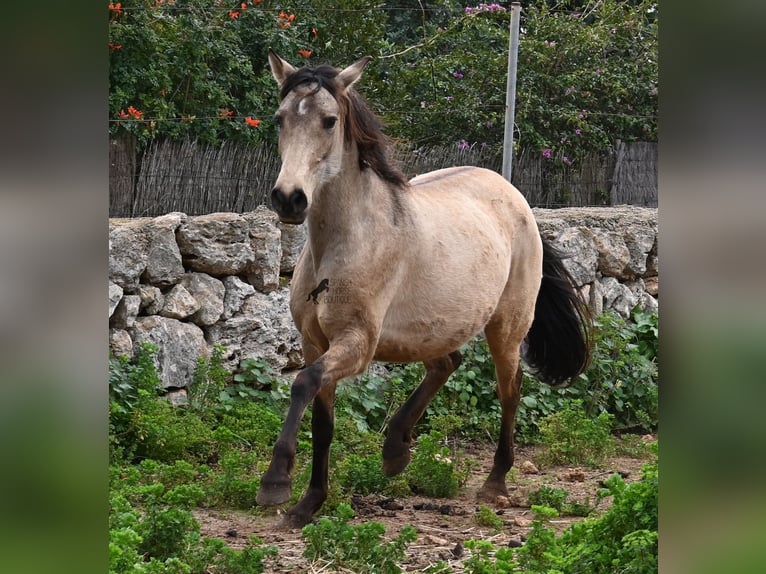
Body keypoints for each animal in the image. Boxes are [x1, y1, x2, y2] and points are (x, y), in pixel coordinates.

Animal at [255, 51, 592, 528]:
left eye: (329, 120)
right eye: (280, 118)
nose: (289, 199)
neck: (345, 241)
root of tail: (517, 200)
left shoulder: (356, 344)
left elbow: (303, 383)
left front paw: (276, 481)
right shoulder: (314, 341)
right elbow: (322, 422)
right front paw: (308, 503)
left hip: (506, 328)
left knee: (510, 389)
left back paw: (495, 483)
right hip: (432, 328)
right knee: (448, 363)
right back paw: (396, 449)